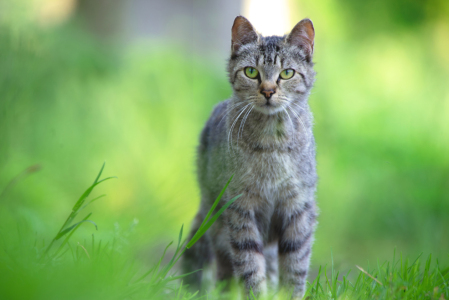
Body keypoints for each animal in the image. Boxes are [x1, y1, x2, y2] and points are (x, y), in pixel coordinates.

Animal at [183, 15, 318, 298]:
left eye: (287, 73)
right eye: (251, 72)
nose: (267, 91)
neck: (272, 143)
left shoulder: (299, 207)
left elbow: (295, 264)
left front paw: (291, 294)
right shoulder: (240, 210)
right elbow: (249, 266)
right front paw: (257, 293)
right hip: (217, 223)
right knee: (225, 271)